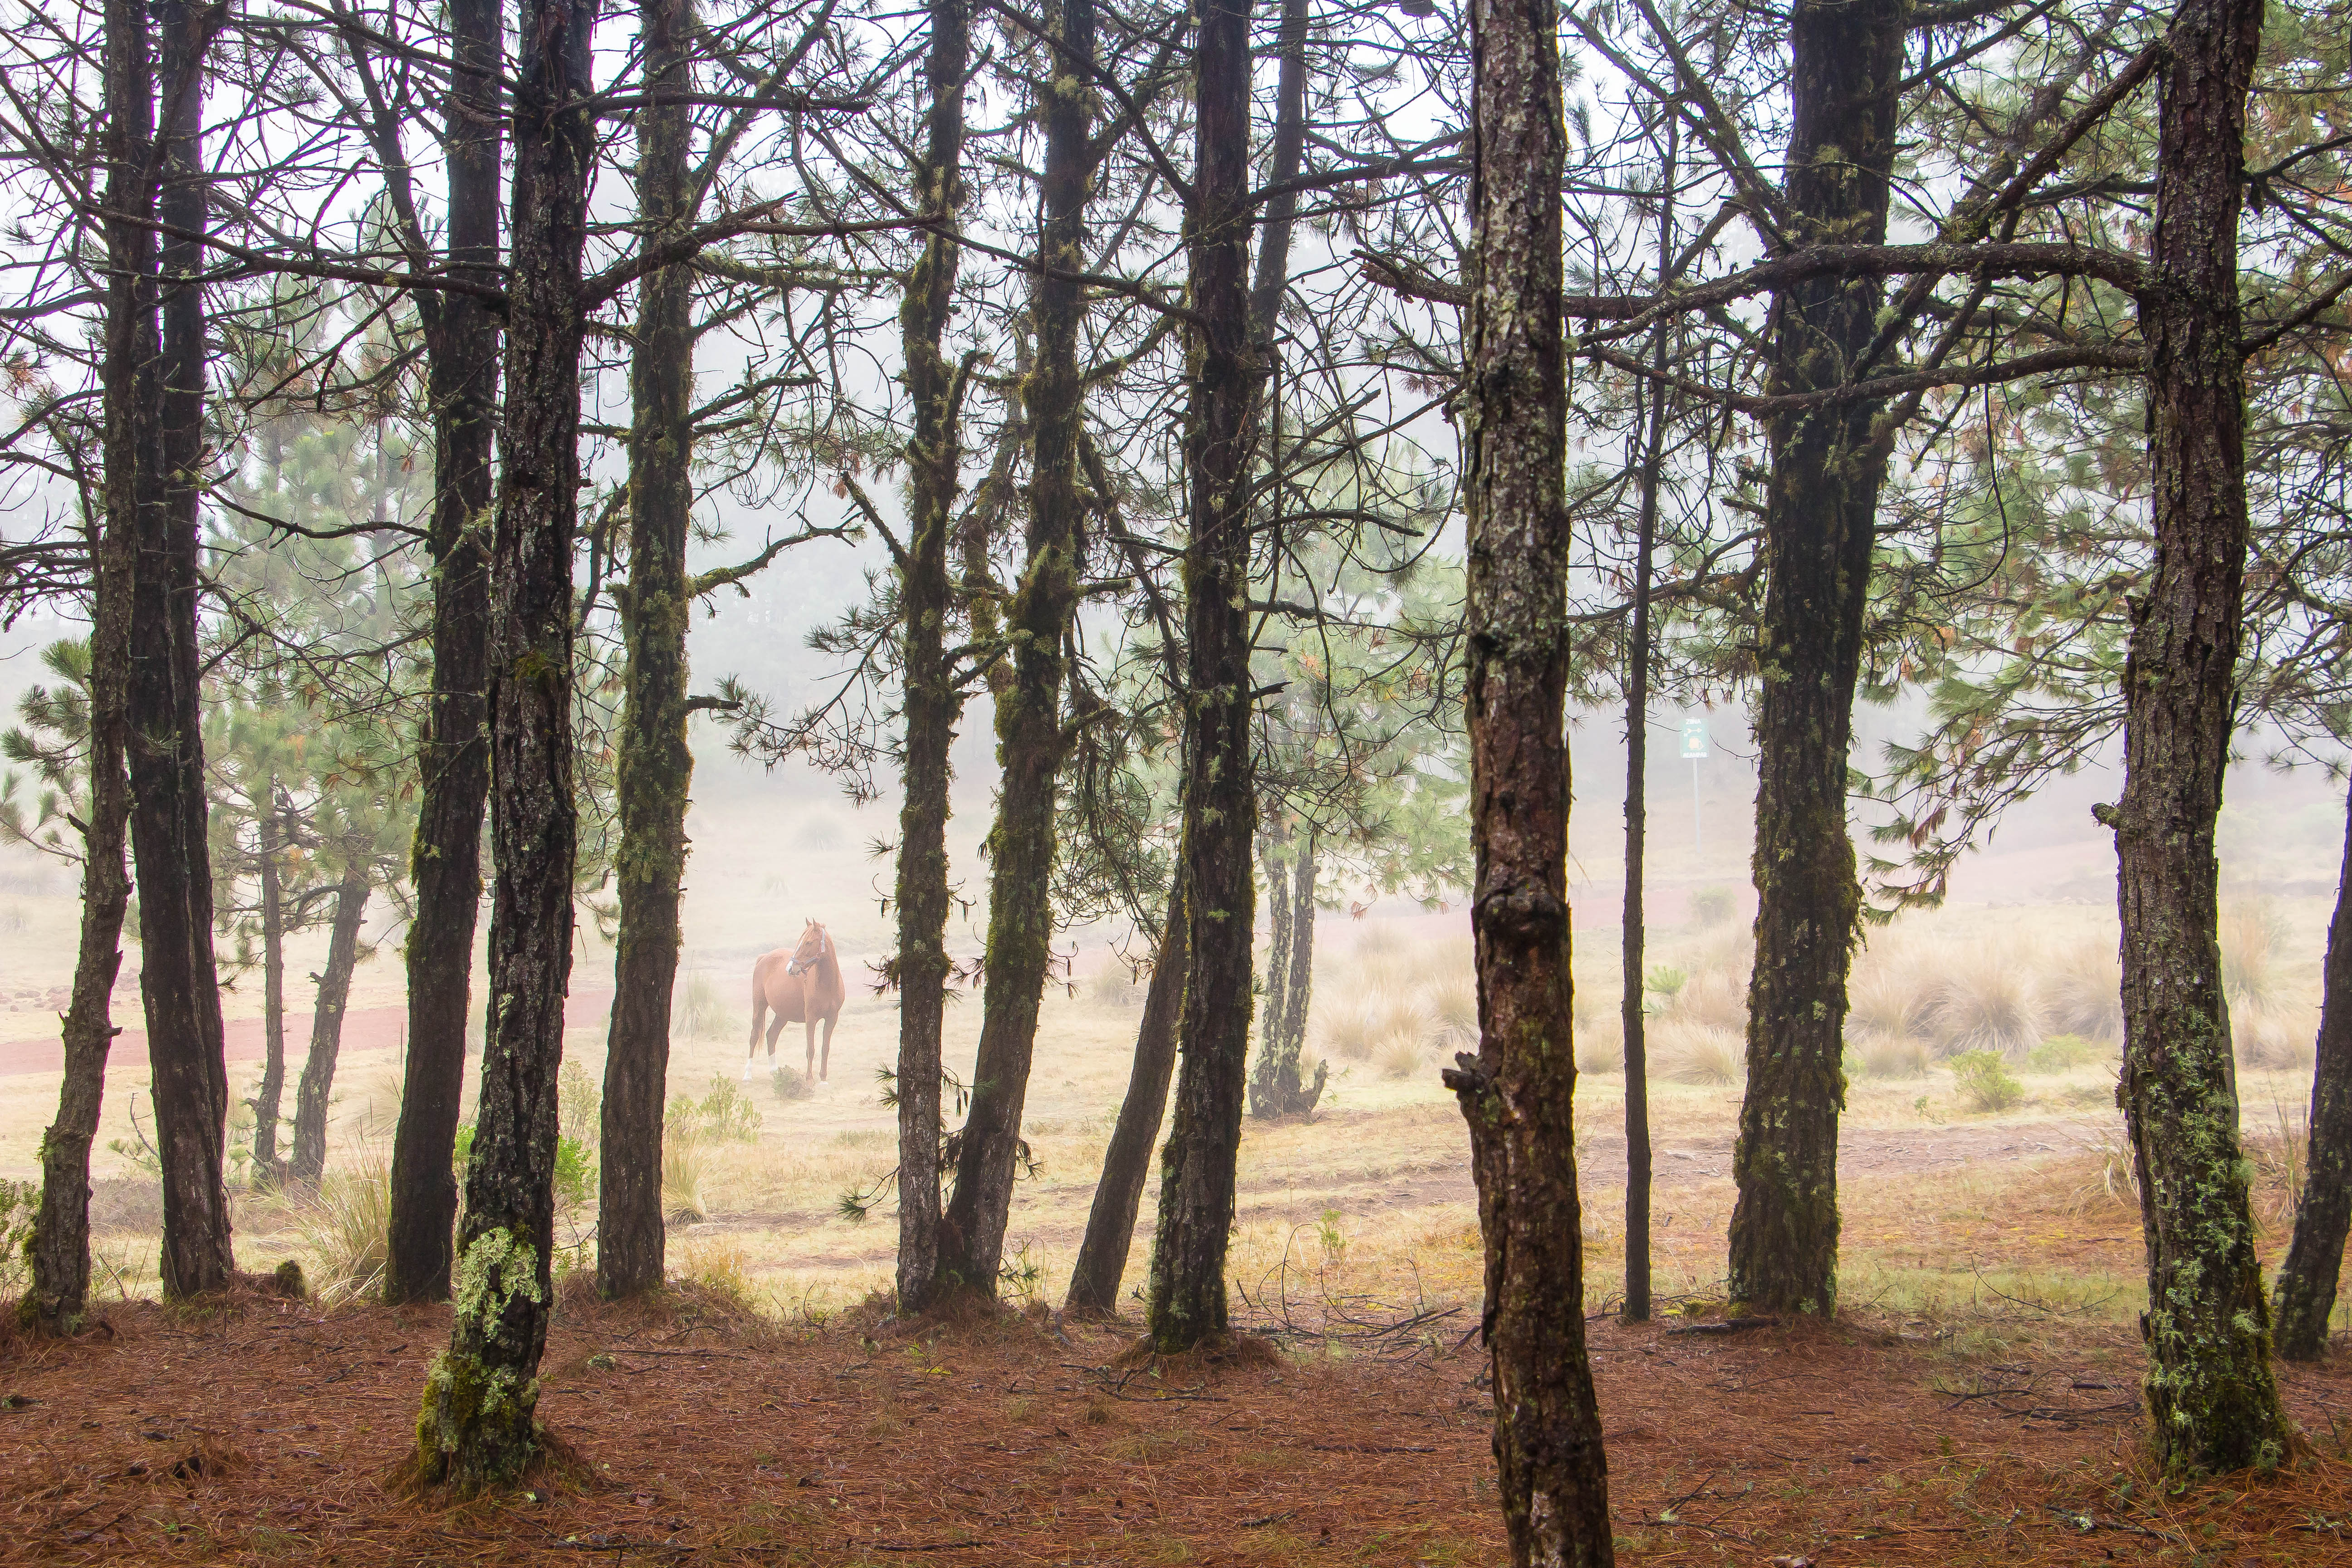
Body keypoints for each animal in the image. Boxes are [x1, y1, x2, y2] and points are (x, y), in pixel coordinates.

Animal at [743, 926, 847, 1086]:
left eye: (808, 942)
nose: (791, 968)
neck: (827, 985)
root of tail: (764, 957)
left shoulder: (832, 1019)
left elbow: (825, 1048)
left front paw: (823, 1079)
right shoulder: (811, 1019)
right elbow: (810, 1049)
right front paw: (809, 1079)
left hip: (783, 1014)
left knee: (772, 1035)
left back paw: (775, 1072)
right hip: (759, 1006)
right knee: (754, 1037)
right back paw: (748, 1075)